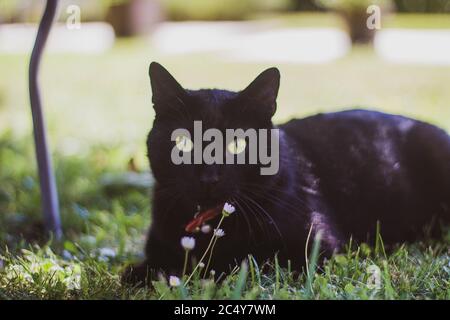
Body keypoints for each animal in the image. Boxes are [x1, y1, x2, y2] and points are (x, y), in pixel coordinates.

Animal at [121, 62, 448, 284]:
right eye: (184, 143)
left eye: (238, 144)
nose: (209, 178)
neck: (209, 226)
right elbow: (141, 269)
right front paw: (148, 272)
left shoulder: (314, 249)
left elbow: (239, 264)